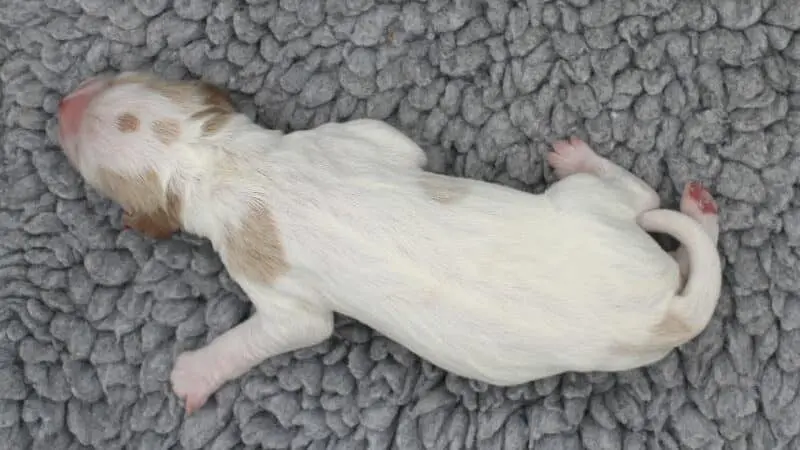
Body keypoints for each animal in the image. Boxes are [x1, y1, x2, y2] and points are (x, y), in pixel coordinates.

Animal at [56, 71, 722, 414]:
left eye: (80, 159)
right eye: (120, 76)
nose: (64, 102)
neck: (219, 160)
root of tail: (666, 316)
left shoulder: (274, 288)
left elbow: (291, 329)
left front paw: (194, 374)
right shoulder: (353, 139)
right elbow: (399, 146)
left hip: (583, 205)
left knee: (636, 190)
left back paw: (582, 157)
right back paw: (700, 210)